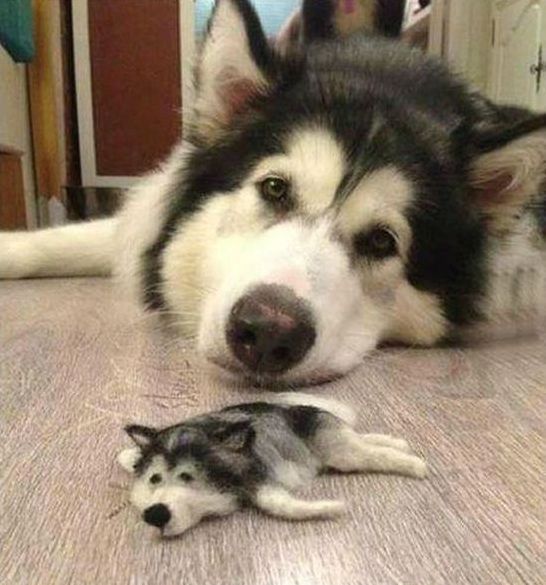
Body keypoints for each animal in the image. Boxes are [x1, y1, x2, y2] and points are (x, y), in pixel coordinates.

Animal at [118, 394, 424, 536]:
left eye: (187, 476)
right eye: (155, 478)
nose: (154, 514)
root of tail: (292, 408)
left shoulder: (260, 481)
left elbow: (282, 506)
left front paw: (331, 507)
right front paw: (127, 456)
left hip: (342, 452)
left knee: (372, 453)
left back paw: (413, 463)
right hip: (340, 448)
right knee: (364, 439)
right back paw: (397, 442)